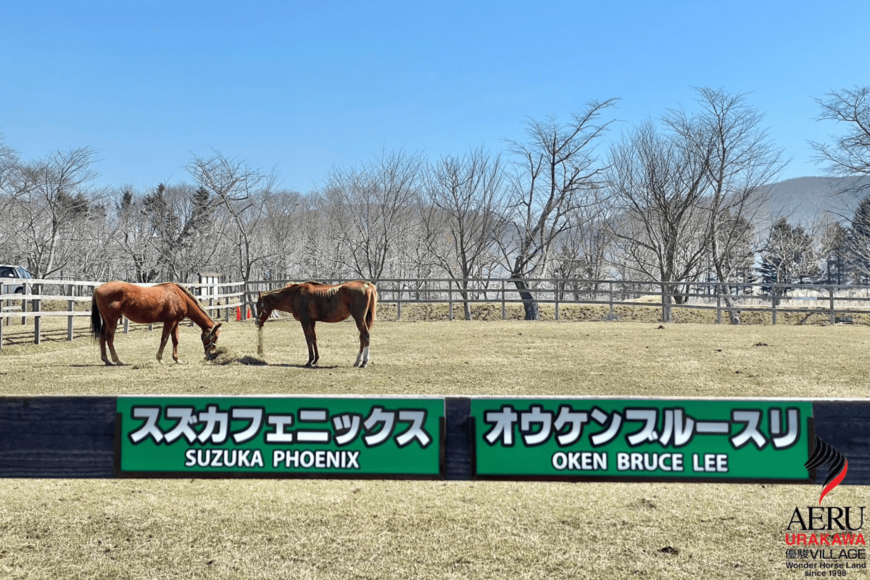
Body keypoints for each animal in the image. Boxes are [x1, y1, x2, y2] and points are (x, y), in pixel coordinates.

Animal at [89, 280, 223, 364]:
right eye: (215, 337)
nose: (211, 355)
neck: (180, 297)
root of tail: (98, 288)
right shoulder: (169, 321)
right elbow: (164, 339)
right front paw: (160, 359)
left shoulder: (175, 322)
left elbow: (175, 340)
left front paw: (177, 359)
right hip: (112, 320)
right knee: (109, 338)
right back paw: (116, 360)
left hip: (106, 321)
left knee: (102, 337)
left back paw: (106, 360)